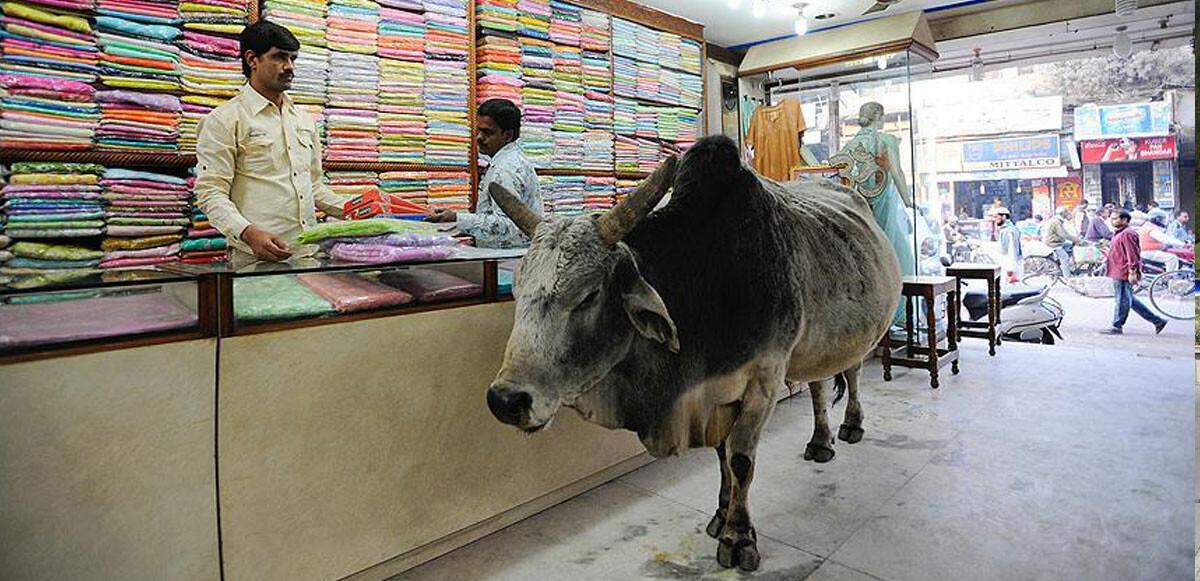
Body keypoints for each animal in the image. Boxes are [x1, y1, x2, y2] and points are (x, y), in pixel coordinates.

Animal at [482, 136, 897, 571]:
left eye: (590, 295)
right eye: (517, 288)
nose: (507, 400)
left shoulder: (764, 379)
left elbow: (740, 458)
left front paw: (738, 537)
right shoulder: (713, 393)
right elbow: (720, 455)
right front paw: (720, 514)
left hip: (857, 337)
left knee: (852, 374)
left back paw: (850, 426)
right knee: (818, 386)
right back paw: (820, 441)